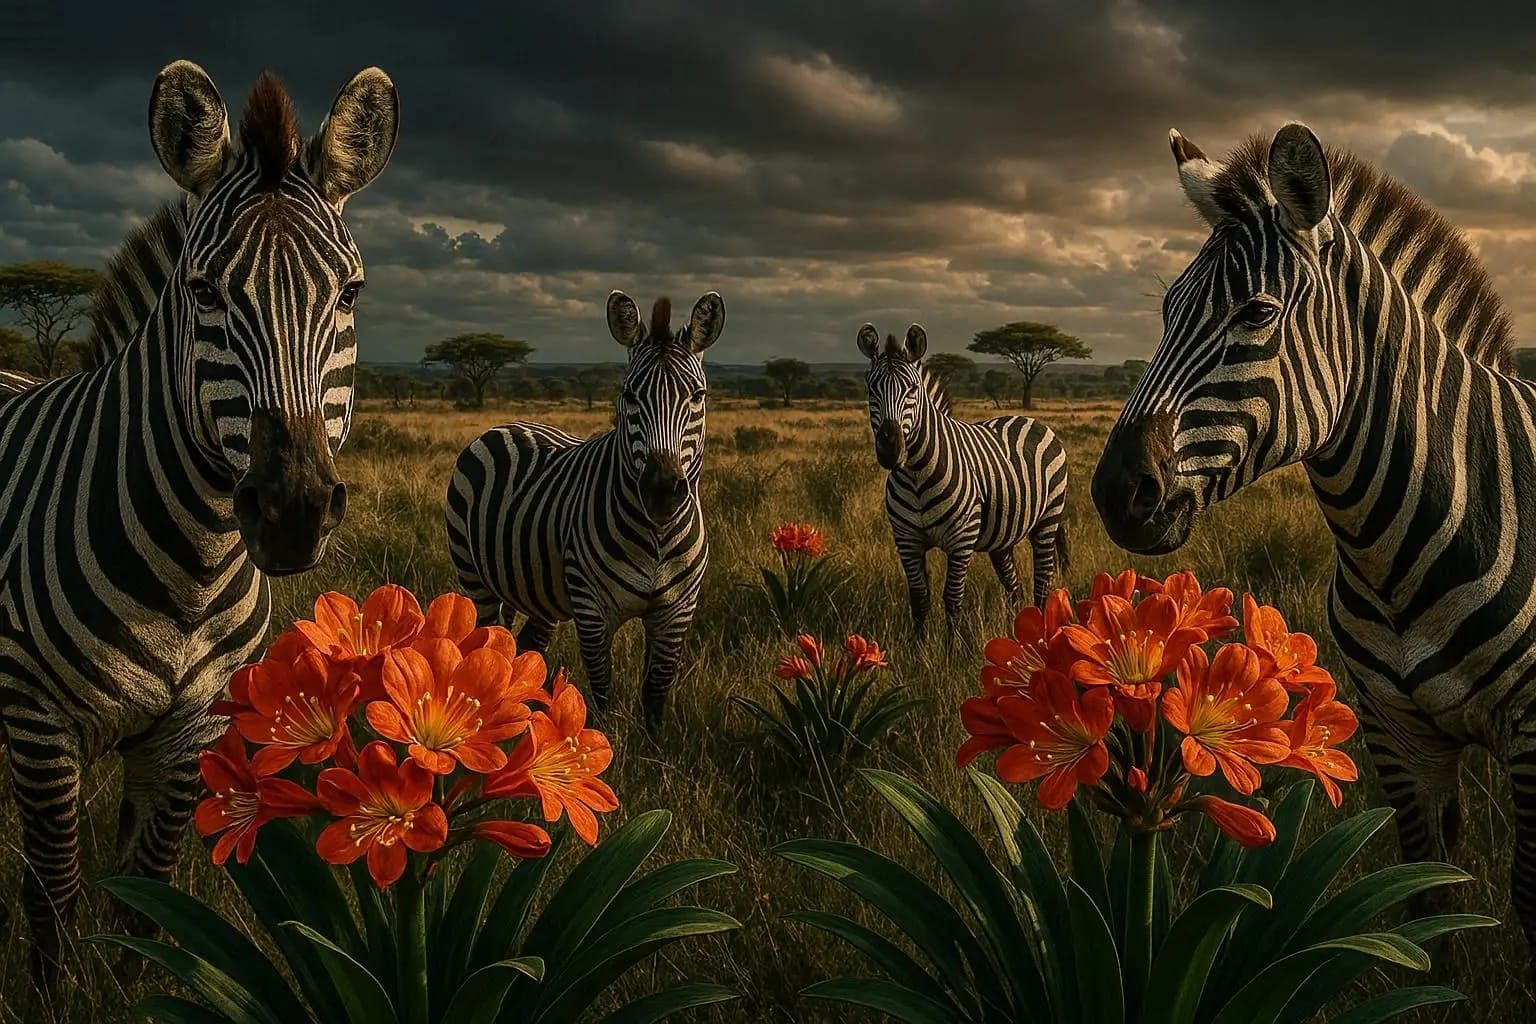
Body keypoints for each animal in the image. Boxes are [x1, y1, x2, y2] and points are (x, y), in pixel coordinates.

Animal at [0, 61, 396, 985]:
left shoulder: (195, 730)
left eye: (351, 292)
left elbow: (144, 899)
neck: (191, 567)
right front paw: (55, 994)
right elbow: (53, 896)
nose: (291, 511)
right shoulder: (39, 722)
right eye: (204, 291)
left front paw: (129, 988)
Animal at [445, 291, 724, 729]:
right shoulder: (593, 610)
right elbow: (602, 691)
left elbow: (655, 693)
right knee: (489, 637)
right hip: (475, 575)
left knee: (529, 645)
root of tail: (507, 423)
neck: (657, 536)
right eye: (629, 396)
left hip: (542, 586)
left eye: (698, 396)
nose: (662, 491)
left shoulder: (677, 611)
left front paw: (652, 745)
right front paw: (604, 743)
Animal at [860, 323, 1070, 638]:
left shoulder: (961, 540)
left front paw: (952, 647)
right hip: (1002, 536)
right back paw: (1019, 630)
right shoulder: (906, 540)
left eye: (913, 389)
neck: (916, 475)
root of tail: (1030, 419)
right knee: (1014, 586)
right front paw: (919, 646)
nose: (890, 449)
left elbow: (952, 597)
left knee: (1042, 581)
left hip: (1048, 519)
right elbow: (919, 598)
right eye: (872, 389)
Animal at [1093, 122, 1536, 963]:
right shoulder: (1398, 737)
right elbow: (1428, 902)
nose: (1114, 493)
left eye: (1257, 313)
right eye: (1166, 311)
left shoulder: (1535, 735)